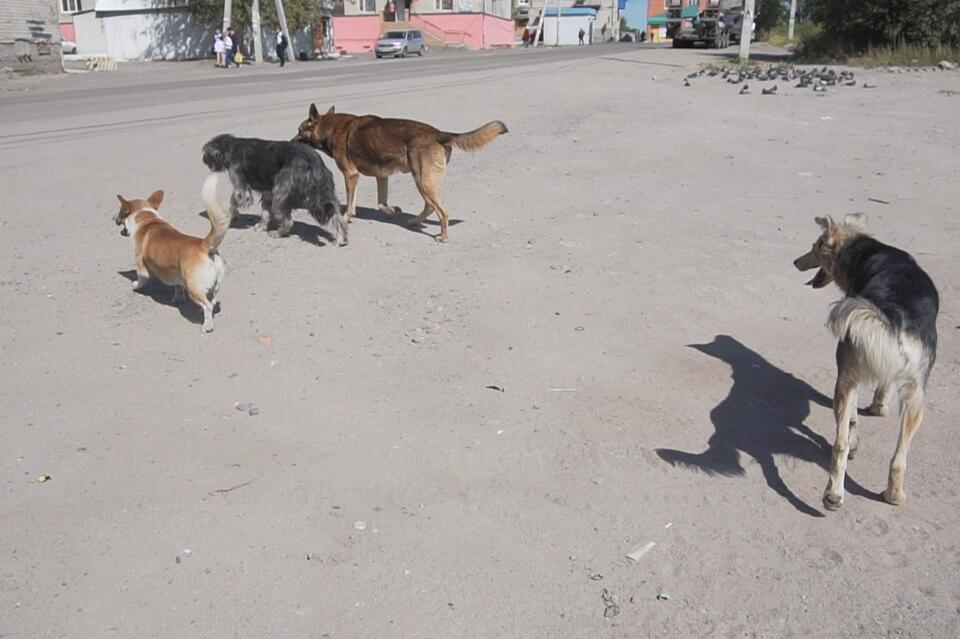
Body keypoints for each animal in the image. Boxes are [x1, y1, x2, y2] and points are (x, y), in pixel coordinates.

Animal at [114, 175, 229, 336]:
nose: (114, 219)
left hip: (193, 287)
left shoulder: (141, 267)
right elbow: (178, 286)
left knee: (208, 305)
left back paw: (207, 326)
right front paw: (178, 298)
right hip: (214, 284)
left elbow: (140, 278)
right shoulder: (176, 273)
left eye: (120, 213)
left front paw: (135, 286)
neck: (147, 220)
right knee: (211, 301)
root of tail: (204, 245)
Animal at [201, 134, 346, 246]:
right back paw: (340, 239)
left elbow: (232, 203)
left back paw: (278, 233)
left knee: (288, 221)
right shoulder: (267, 193)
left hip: (280, 193)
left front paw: (230, 218)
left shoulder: (241, 189)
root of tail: (313, 161)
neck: (232, 147)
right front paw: (262, 226)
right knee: (337, 217)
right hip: (326, 194)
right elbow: (265, 212)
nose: (203, 160)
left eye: (206, 154)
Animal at [292, 104, 506, 244]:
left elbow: (351, 205)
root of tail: (438, 133)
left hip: (421, 181)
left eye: (299, 130)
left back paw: (443, 236)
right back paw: (414, 221)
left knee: (441, 211)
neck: (329, 126)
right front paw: (390, 210)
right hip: (422, 181)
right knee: (430, 206)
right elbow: (381, 202)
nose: (290, 142)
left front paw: (345, 218)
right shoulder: (381, 176)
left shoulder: (350, 174)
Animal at [796, 214, 936, 510]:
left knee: (847, 446)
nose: (795, 262)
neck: (865, 250)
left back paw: (839, 495)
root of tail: (895, 314)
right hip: (914, 396)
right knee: (891, 455)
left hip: (863, 384)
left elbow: (854, 419)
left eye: (814, 248)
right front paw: (877, 408)